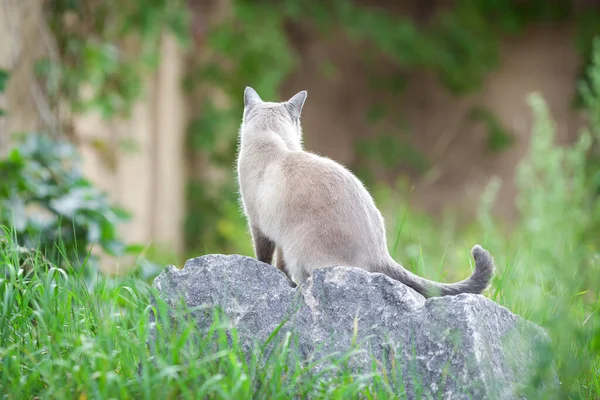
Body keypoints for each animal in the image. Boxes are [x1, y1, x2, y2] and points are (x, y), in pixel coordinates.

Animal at [237, 87, 494, 296]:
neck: (271, 140)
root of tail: (380, 253)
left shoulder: (258, 224)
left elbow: (264, 257)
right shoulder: (273, 232)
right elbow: (278, 264)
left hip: (298, 250)